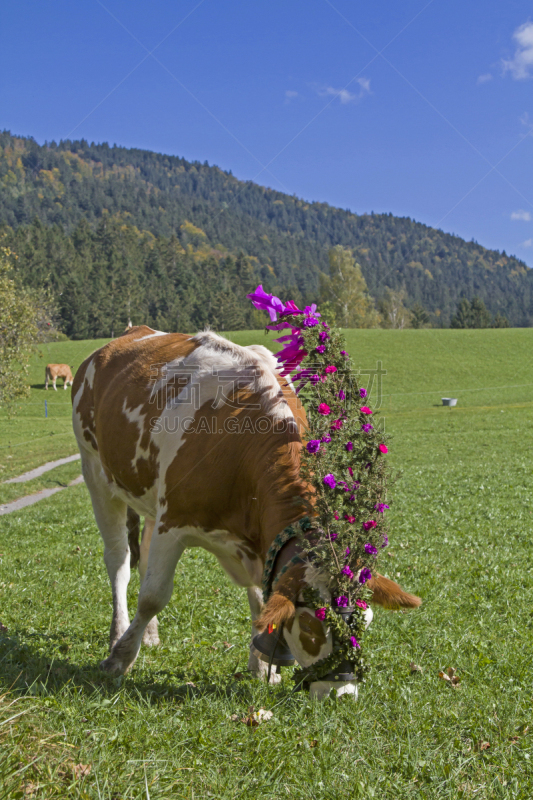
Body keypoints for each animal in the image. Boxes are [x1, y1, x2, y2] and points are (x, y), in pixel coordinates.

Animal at [71, 328, 420, 696]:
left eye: (366, 622)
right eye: (311, 627)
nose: (342, 694)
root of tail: (132, 333)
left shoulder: (254, 539)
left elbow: (261, 602)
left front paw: (262, 665)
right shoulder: (175, 522)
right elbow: (153, 596)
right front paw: (120, 658)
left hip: (150, 497)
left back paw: (148, 634)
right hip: (95, 472)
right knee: (119, 561)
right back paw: (118, 633)